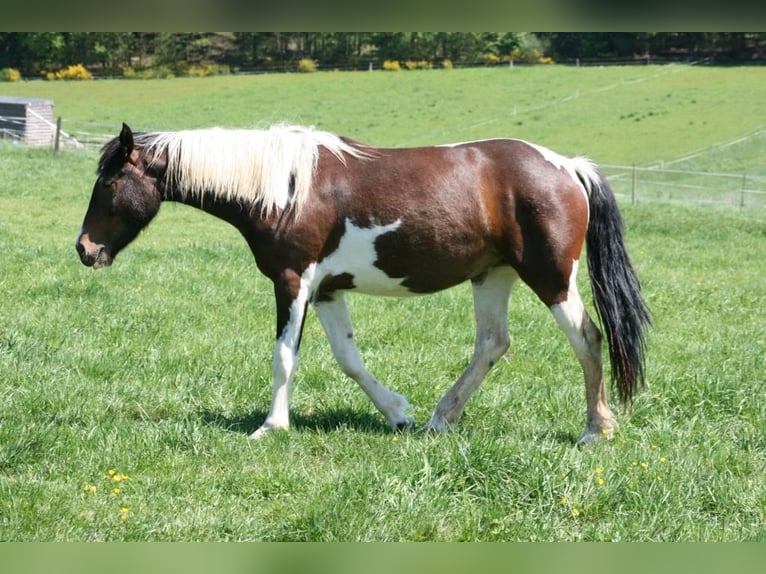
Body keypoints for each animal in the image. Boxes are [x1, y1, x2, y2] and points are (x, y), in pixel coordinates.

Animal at [76, 123, 650, 445]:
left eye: (109, 181)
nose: (84, 249)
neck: (284, 188)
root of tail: (567, 167)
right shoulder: (327, 290)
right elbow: (349, 359)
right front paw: (397, 413)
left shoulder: (293, 281)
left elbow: (284, 356)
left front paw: (271, 427)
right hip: (493, 275)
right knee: (493, 343)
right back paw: (440, 420)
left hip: (551, 278)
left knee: (588, 339)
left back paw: (595, 429)